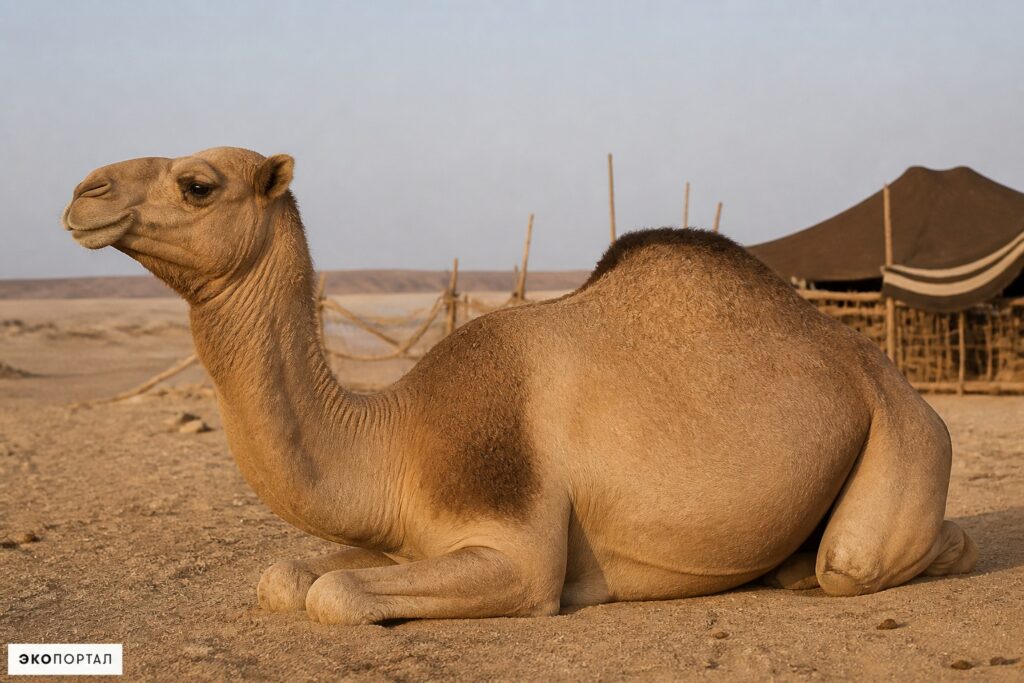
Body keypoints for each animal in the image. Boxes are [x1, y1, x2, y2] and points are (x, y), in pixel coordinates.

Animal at [63, 147, 977, 624]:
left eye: (197, 183)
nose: (82, 191)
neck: (399, 434)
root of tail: (879, 366)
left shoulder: (519, 551)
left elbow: (335, 591)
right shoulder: (405, 536)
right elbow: (289, 575)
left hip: (907, 432)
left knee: (855, 560)